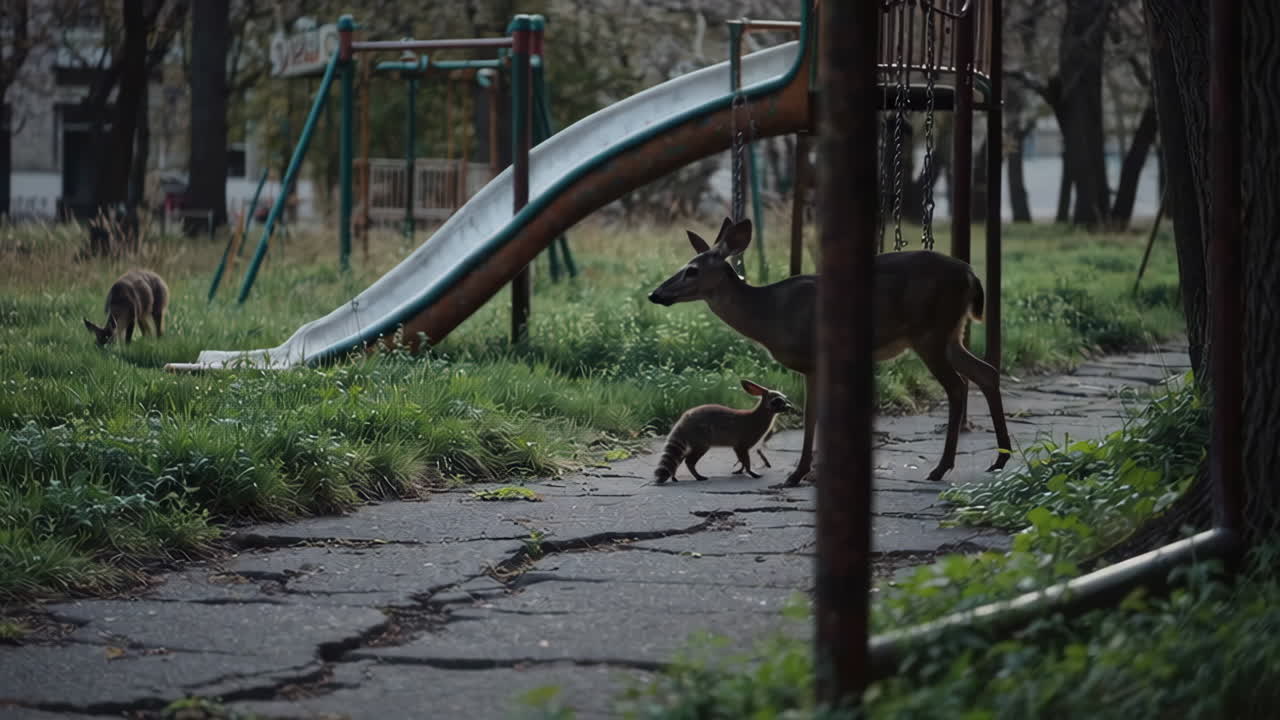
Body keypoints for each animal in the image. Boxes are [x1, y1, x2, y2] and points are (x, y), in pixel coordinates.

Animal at [653, 379, 794, 484]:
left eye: (785, 400)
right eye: (776, 401)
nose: (789, 407)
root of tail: (684, 419)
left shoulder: (738, 445)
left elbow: (740, 457)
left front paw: (741, 469)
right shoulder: (743, 440)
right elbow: (744, 457)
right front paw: (749, 470)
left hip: (694, 438)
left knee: (681, 456)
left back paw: (674, 474)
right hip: (701, 437)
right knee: (689, 459)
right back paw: (696, 474)